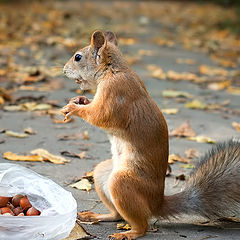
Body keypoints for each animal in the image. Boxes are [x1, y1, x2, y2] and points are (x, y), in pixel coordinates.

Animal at [62, 31, 240, 239]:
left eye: (78, 57)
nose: (63, 70)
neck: (113, 70)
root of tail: (157, 203)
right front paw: (80, 99)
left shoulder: (115, 93)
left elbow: (100, 115)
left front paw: (74, 108)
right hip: (102, 174)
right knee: (117, 215)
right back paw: (98, 216)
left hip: (122, 183)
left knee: (142, 225)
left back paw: (129, 233)